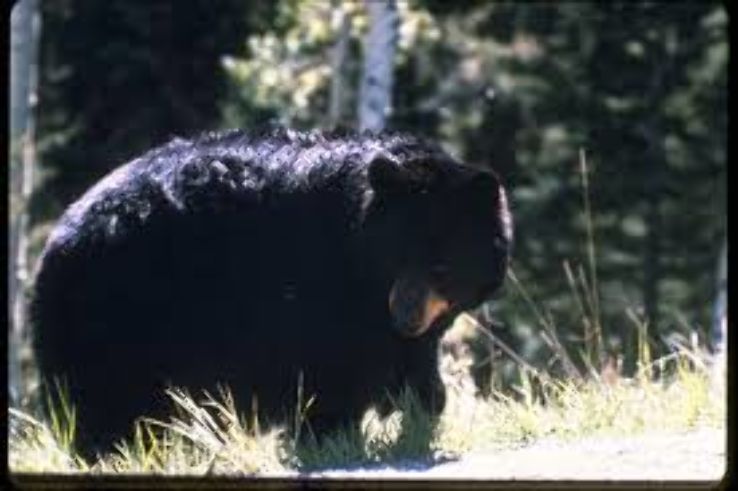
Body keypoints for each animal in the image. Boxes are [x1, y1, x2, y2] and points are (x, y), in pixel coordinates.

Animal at [31, 128, 512, 459]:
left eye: (441, 266)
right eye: (396, 255)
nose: (406, 315)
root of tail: (59, 237)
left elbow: (415, 368)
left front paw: (420, 412)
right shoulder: (319, 293)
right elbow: (330, 370)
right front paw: (330, 436)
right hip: (118, 313)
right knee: (106, 396)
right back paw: (113, 451)